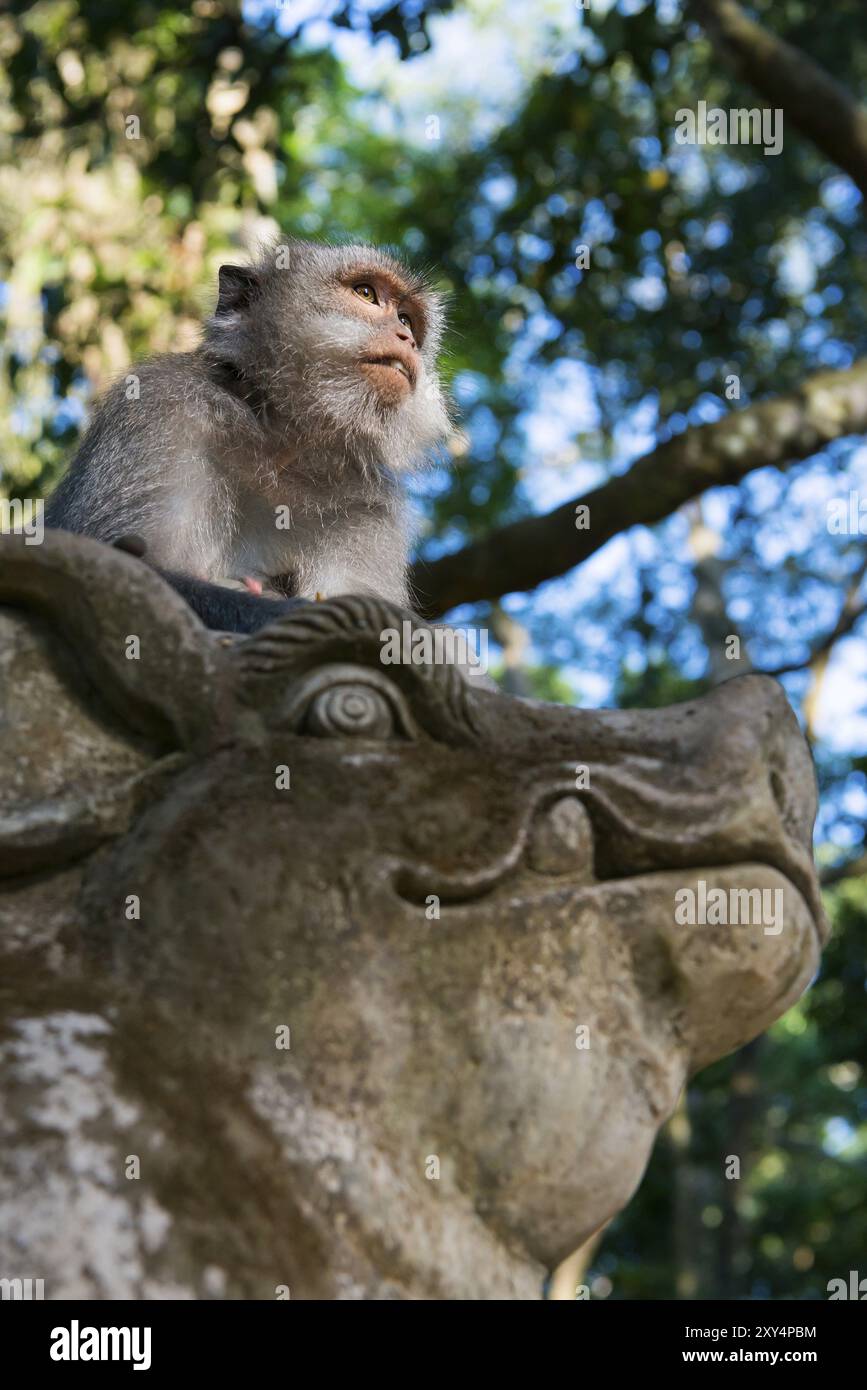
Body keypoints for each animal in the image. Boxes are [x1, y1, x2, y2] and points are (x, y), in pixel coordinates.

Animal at [45, 239, 452, 631]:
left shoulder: (370, 508)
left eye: (407, 319)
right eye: (366, 293)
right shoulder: (160, 404)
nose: (406, 338)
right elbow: (125, 565)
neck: (280, 445)